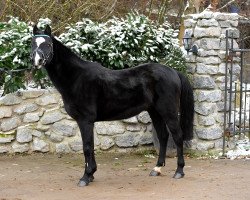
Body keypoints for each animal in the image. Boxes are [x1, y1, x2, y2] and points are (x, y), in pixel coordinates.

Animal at [31, 24, 194, 186]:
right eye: (33, 43)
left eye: (48, 44)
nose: (37, 60)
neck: (76, 77)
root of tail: (174, 72)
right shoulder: (87, 122)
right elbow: (90, 146)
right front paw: (91, 174)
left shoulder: (85, 120)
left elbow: (87, 147)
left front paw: (85, 177)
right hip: (155, 112)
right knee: (163, 136)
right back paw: (157, 169)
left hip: (168, 112)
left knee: (177, 136)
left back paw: (179, 171)